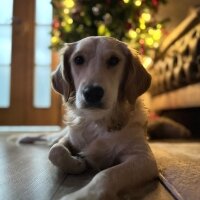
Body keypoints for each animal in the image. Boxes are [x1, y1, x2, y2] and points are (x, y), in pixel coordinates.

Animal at [48, 36, 158, 200]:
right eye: (78, 59)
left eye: (113, 60)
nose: (92, 92)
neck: (98, 121)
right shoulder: (70, 139)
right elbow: (55, 152)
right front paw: (76, 163)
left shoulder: (144, 158)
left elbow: (106, 175)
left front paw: (83, 195)